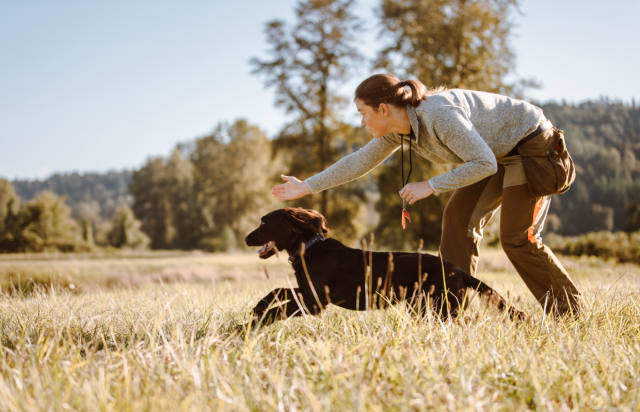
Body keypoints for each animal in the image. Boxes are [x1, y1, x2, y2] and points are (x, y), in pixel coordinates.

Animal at [242, 208, 524, 326]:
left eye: (264, 222)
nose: (246, 238)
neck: (310, 247)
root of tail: (458, 270)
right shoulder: (308, 293)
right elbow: (277, 291)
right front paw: (258, 308)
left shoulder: (315, 301)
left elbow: (279, 306)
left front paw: (249, 326)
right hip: (423, 307)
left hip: (440, 307)